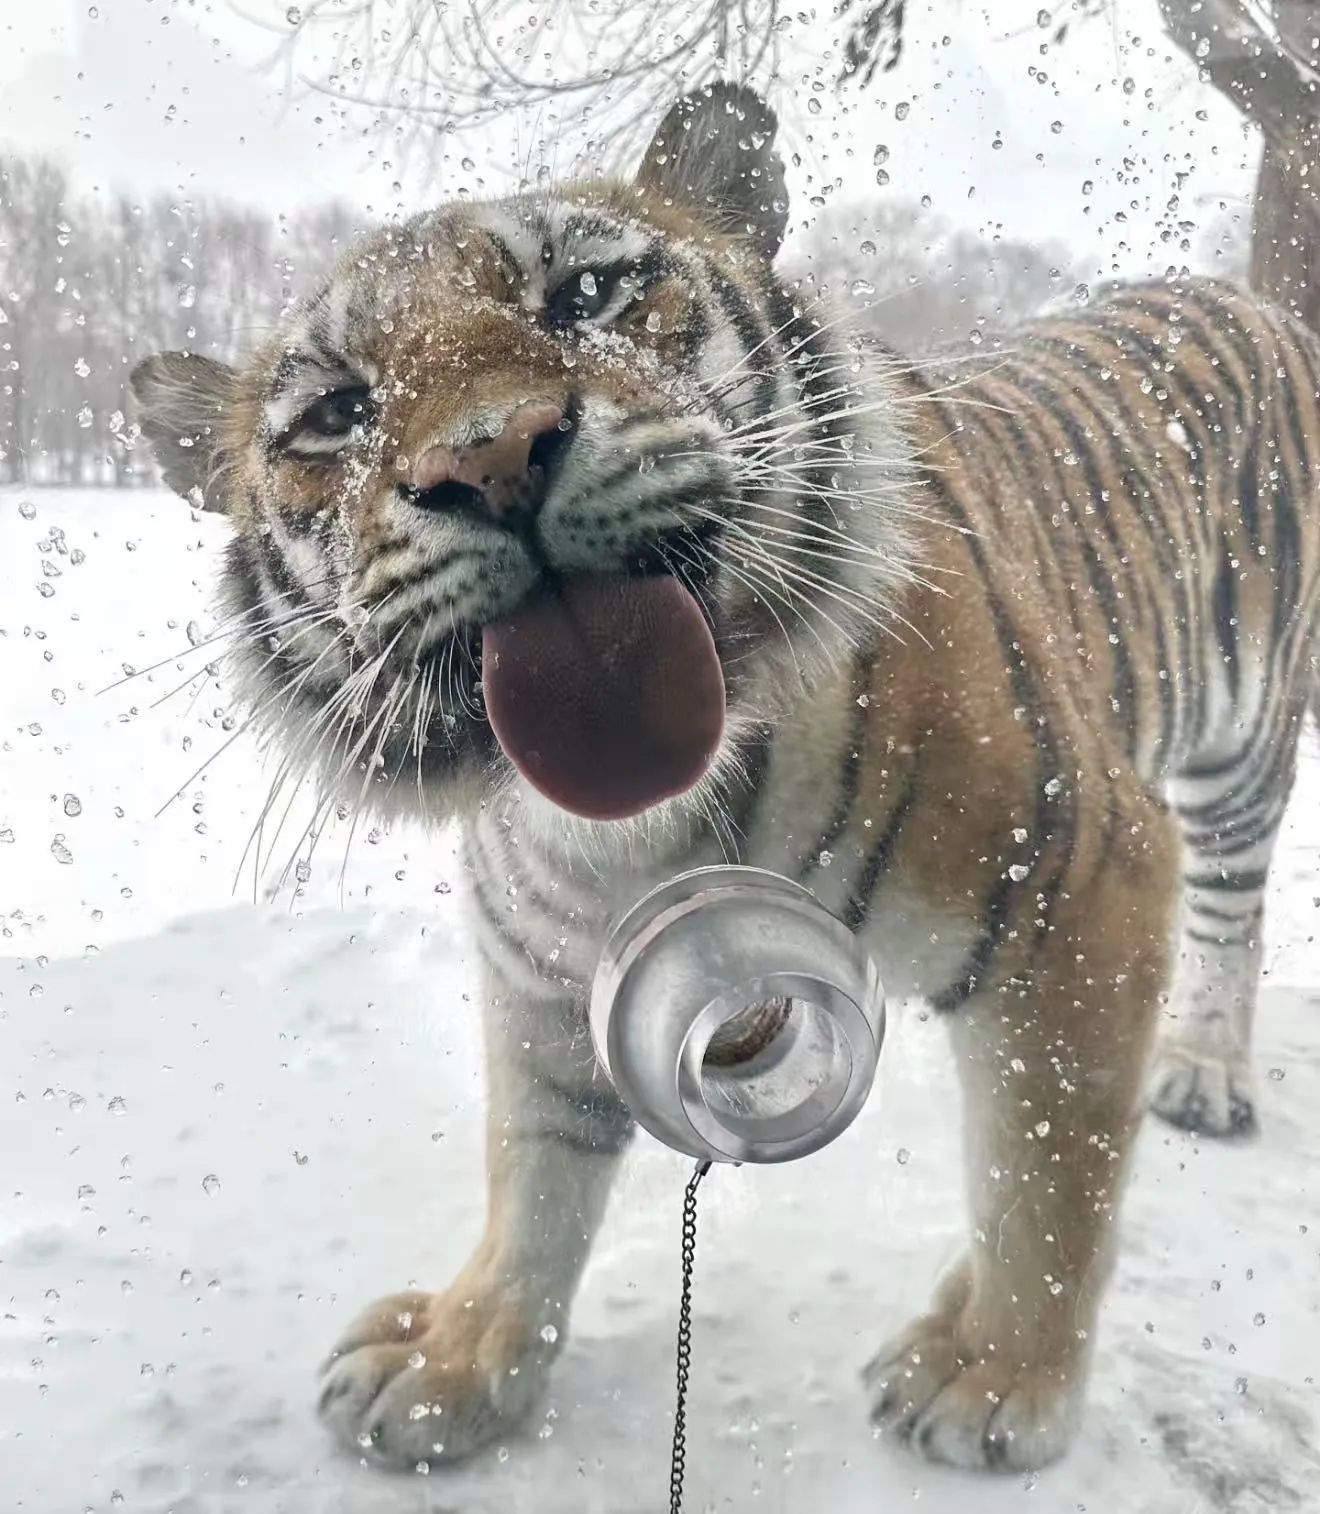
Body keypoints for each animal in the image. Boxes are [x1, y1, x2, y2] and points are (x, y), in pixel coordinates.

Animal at [127, 81, 1320, 1475]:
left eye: (586, 293)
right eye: (337, 413)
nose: (491, 456)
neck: (632, 833)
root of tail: (1235, 290)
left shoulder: (1082, 878)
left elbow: (1043, 1169)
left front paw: (993, 1376)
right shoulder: (547, 981)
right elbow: (532, 1169)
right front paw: (459, 1357)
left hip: (1242, 750)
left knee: (1233, 916)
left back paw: (1203, 1072)